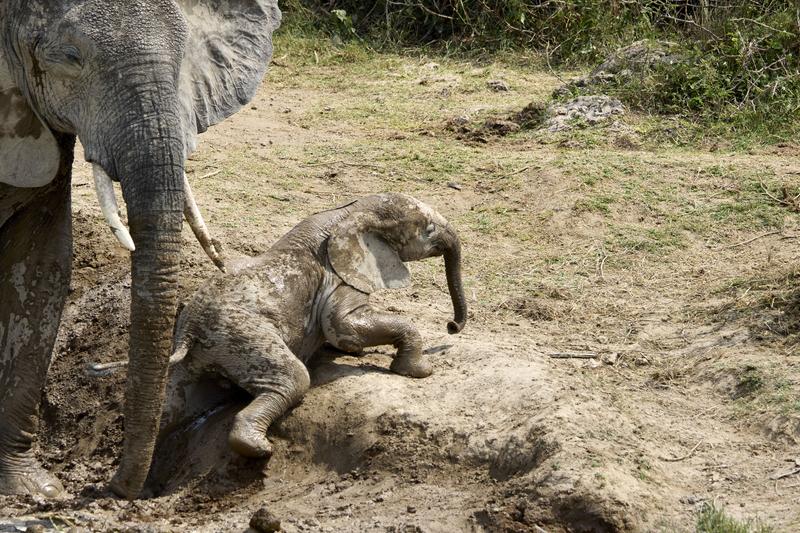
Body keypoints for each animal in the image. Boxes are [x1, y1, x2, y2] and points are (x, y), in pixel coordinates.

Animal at [97, 193, 466, 460]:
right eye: (428, 229)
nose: (452, 326)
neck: (355, 210)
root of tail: (187, 331)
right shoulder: (339, 277)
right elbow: (343, 325)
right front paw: (419, 372)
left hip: (197, 358)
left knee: (171, 405)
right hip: (240, 334)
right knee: (294, 379)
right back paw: (258, 449)